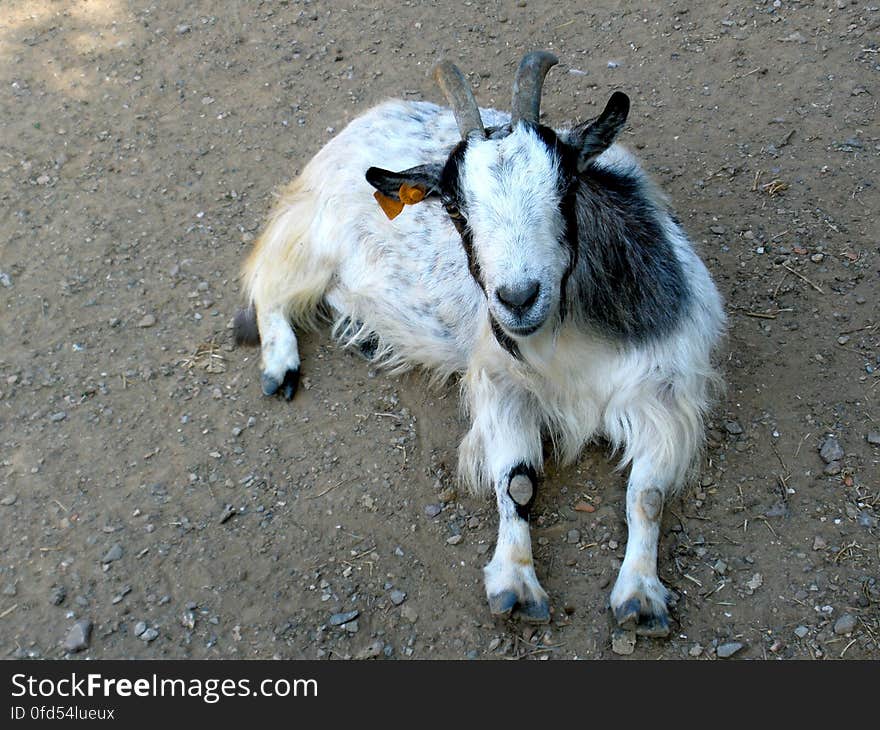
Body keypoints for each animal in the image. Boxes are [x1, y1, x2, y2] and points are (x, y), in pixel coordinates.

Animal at [234, 51, 720, 636]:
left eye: (567, 188)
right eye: (454, 208)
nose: (517, 298)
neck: (570, 339)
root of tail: (367, 119)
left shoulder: (664, 392)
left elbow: (646, 496)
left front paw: (641, 598)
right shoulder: (502, 381)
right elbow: (517, 483)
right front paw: (516, 586)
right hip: (309, 236)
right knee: (268, 284)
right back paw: (279, 364)